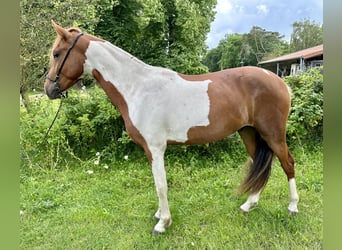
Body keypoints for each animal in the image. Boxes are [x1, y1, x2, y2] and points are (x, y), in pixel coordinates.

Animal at [44, 21, 298, 234]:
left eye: (57, 54)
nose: (48, 89)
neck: (138, 88)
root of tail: (279, 81)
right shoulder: (151, 150)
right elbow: (158, 183)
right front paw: (160, 214)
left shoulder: (156, 148)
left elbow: (161, 185)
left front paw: (163, 223)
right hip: (249, 132)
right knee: (260, 165)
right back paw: (249, 204)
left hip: (273, 133)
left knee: (287, 163)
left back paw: (293, 207)